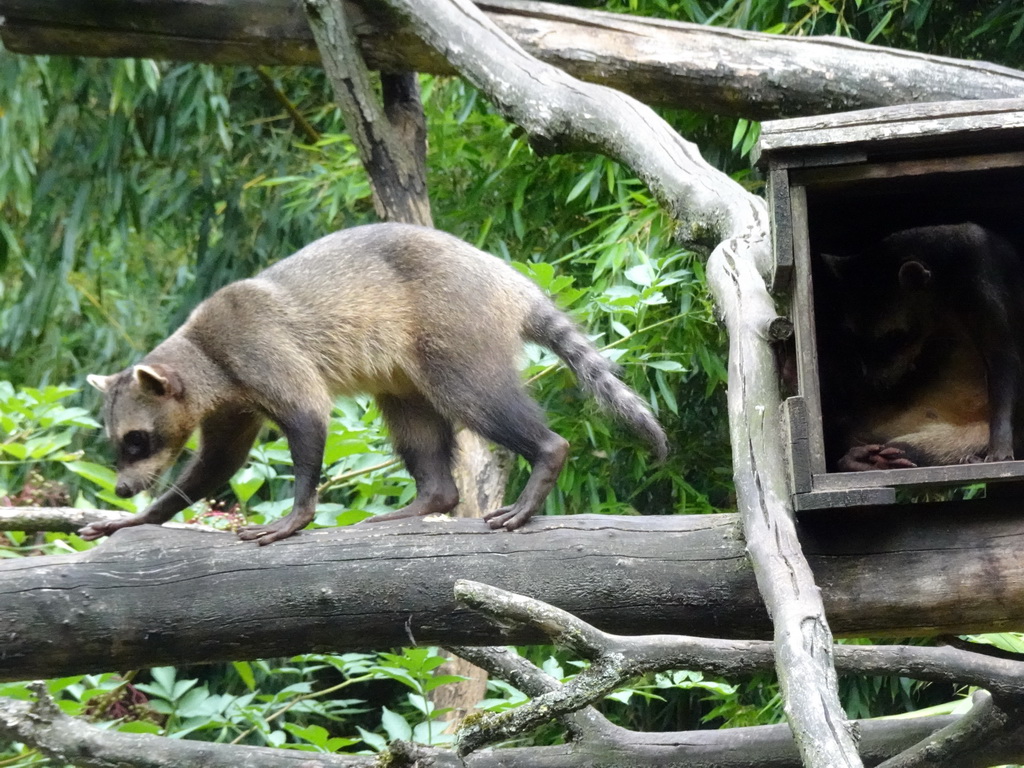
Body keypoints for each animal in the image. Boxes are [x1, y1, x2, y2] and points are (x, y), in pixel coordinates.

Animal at [81, 222, 671, 548]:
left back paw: (545, 453)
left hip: (455, 324)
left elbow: (307, 417)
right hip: (406, 370)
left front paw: (298, 512)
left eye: (137, 440)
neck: (200, 354)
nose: (122, 489)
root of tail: (508, 281)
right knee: (414, 424)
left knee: (478, 398)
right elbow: (217, 463)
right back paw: (429, 496)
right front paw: (144, 515)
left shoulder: (260, 351)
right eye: (119, 443)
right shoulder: (232, 403)